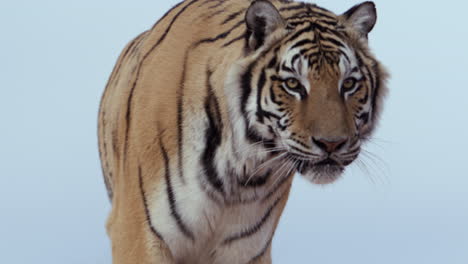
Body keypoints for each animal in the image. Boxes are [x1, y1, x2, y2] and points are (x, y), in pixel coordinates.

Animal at [98, 0, 388, 262]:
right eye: (293, 84)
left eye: (348, 84)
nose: (332, 144)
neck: (240, 168)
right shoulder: (137, 233)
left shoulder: (247, 247)